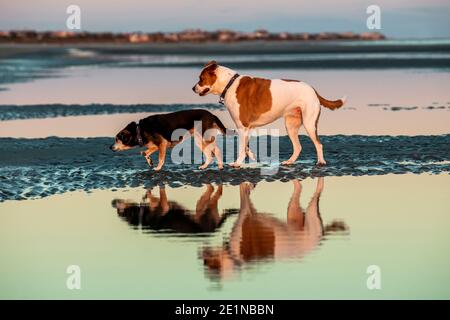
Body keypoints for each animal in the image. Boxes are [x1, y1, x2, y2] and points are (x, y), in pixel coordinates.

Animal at [192, 62, 346, 168]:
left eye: (201, 78)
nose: (193, 88)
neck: (229, 84)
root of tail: (313, 89)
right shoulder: (247, 128)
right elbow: (246, 146)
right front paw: (251, 156)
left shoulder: (243, 126)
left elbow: (241, 148)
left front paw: (237, 163)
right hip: (291, 125)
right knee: (298, 147)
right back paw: (289, 161)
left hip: (309, 123)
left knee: (319, 144)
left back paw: (321, 161)